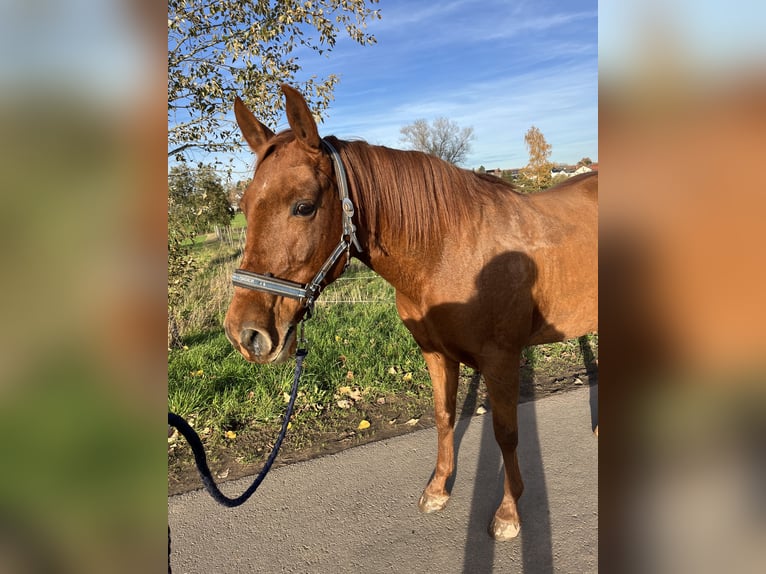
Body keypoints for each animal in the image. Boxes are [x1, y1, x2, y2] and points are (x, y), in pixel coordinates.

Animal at [224, 84, 598, 540]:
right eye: (244, 205)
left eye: (304, 206)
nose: (245, 333)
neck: (448, 250)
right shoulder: (435, 353)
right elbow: (443, 416)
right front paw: (437, 491)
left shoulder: (503, 359)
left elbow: (506, 434)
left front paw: (509, 513)